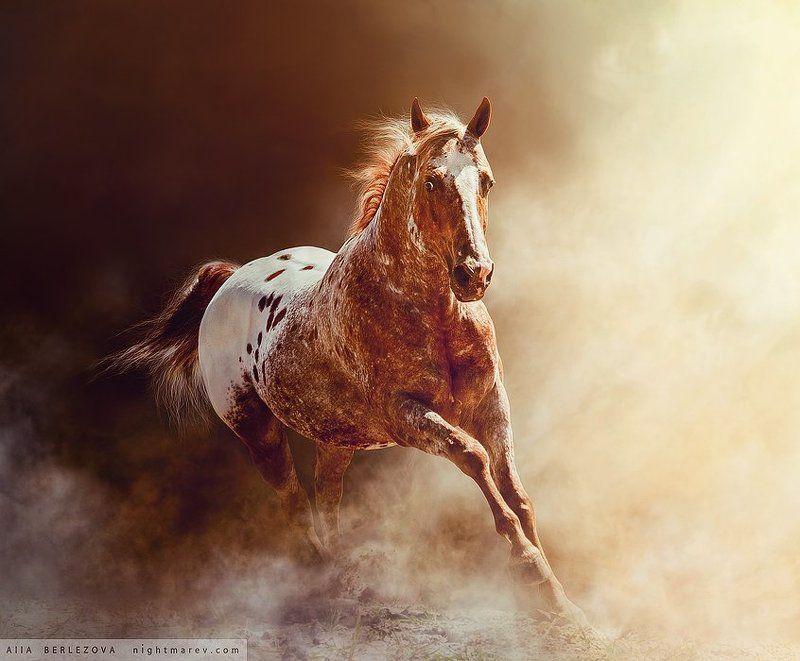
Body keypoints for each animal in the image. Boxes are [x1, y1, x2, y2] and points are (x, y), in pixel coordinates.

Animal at [111, 97, 586, 624]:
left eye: (486, 181)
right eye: (431, 182)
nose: (474, 274)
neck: (433, 315)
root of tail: (230, 280)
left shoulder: (491, 404)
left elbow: (514, 487)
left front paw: (559, 599)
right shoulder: (405, 414)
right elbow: (472, 457)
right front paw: (529, 566)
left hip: (335, 440)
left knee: (327, 497)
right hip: (258, 432)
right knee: (296, 504)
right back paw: (320, 581)